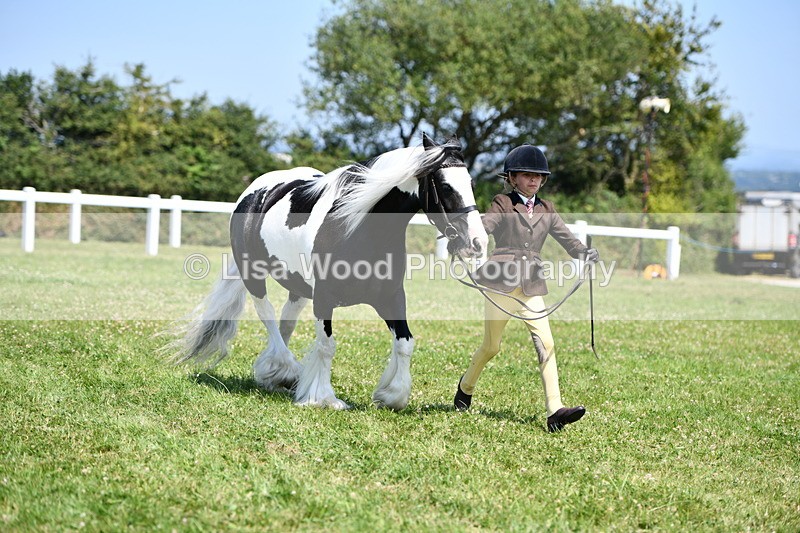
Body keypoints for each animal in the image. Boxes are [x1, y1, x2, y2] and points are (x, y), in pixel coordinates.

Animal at [170, 133, 488, 410]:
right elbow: (326, 346)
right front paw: (323, 398)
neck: (357, 228)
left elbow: (405, 342)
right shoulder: (324, 297)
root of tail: (255, 191)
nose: (478, 243)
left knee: (286, 322)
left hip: (298, 287)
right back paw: (286, 370)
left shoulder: (390, 297)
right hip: (254, 276)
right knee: (267, 314)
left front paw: (392, 395)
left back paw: (272, 371)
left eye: (471, 182)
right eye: (445, 186)